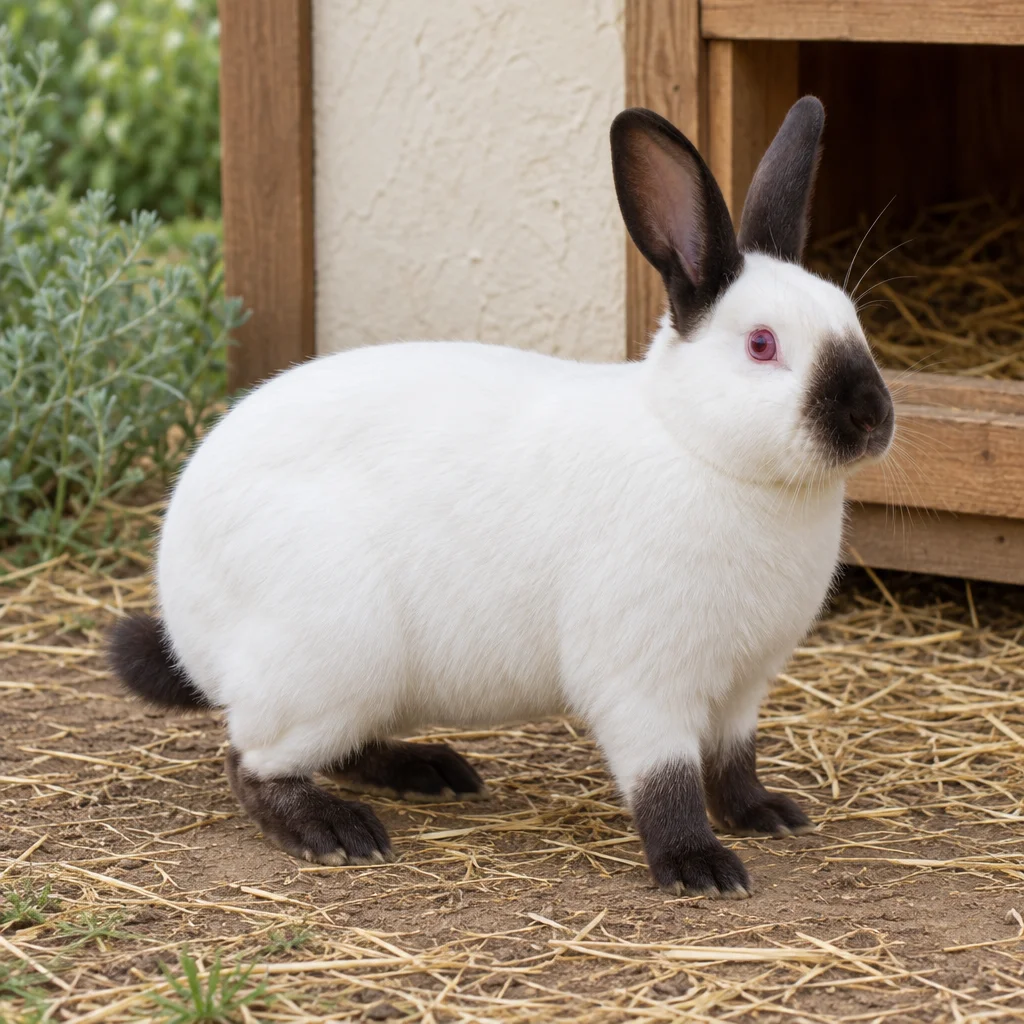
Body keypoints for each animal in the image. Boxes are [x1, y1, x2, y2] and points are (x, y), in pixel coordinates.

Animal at [108, 95, 893, 899]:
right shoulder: (643, 684)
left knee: (335, 747)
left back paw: (430, 770)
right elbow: (665, 782)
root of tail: (184, 619)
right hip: (327, 658)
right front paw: (699, 867)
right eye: (762, 345)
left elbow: (734, 762)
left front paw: (765, 815)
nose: (873, 416)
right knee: (251, 763)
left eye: (851, 318)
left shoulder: (742, 689)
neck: (699, 446)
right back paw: (335, 830)